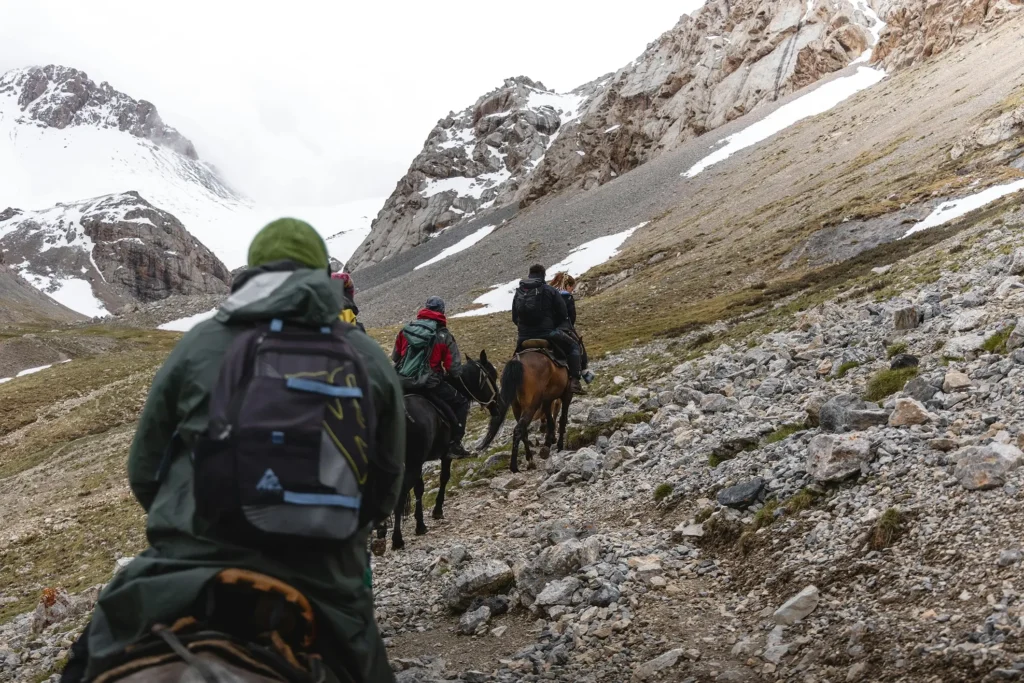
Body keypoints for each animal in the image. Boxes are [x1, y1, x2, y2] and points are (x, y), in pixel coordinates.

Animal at [378, 352, 501, 548]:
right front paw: (436, 511)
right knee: (400, 494)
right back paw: (397, 539)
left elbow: (419, 489)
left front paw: (420, 524)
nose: (497, 404)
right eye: (492, 375)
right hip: (411, 464)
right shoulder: (443, 455)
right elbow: (444, 478)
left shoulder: (419, 463)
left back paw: (381, 531)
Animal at [477, 344, 573, 473]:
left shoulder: (547, 400)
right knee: (519, 429)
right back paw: (515, 466)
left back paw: (530, 460)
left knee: (524, 431)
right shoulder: (566, 394)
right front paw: (559, 444)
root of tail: (517, 361)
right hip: (531, 405)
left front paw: (549, 440)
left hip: (517, 407)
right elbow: (561, 419)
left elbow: (550, 418)